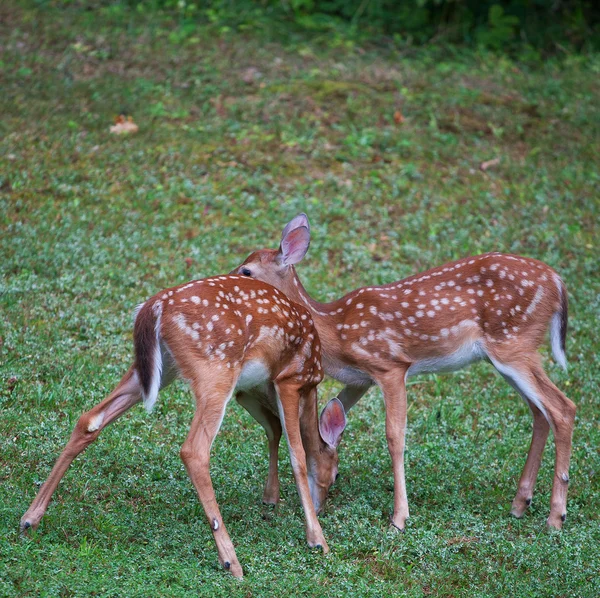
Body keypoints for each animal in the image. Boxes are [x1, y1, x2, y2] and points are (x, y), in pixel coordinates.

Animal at [21, 274, 346, 580]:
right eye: (336, 474)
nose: (323, 506)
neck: (311, 384)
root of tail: (154, 306)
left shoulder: (251, 390)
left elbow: (274, 431)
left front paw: (271, 501)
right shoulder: (289, 380)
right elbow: (298, 454)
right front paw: (317, 540)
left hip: (159, 369)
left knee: (89, 419)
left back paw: (29, 518)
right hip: (216, 370)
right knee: (194, 450)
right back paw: (232, 562)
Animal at [232, 213, 576, 532]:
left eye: (247, 271)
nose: (229, 283)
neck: (335, 329)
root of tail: (558, 282)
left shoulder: (390, 365)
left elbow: (394, 436)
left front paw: (399, 518)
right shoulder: (360, 379)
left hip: (513, 344)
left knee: (562, 408)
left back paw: (555, 517)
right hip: (509, 355)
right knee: (540, 411)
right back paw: (520, 504)